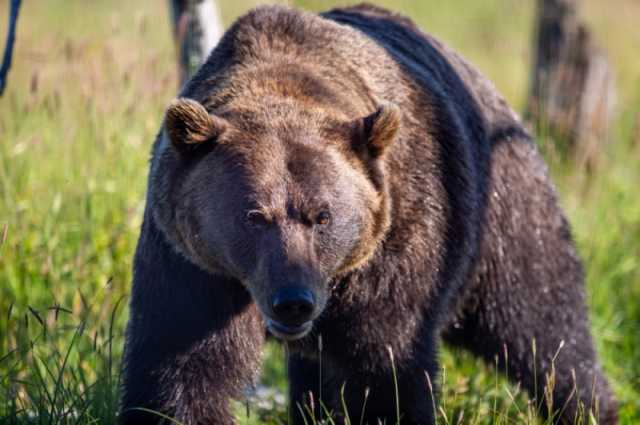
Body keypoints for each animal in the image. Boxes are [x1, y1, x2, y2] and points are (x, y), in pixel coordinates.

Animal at [119, 4, 616, 424]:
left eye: (323, 216)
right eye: (253, 215)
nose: (293, 300)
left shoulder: (393, 252)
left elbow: (383, 367)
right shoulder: (194, 264)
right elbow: (183, 367)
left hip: (502, 214)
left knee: (543, 323)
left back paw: (591, 406)